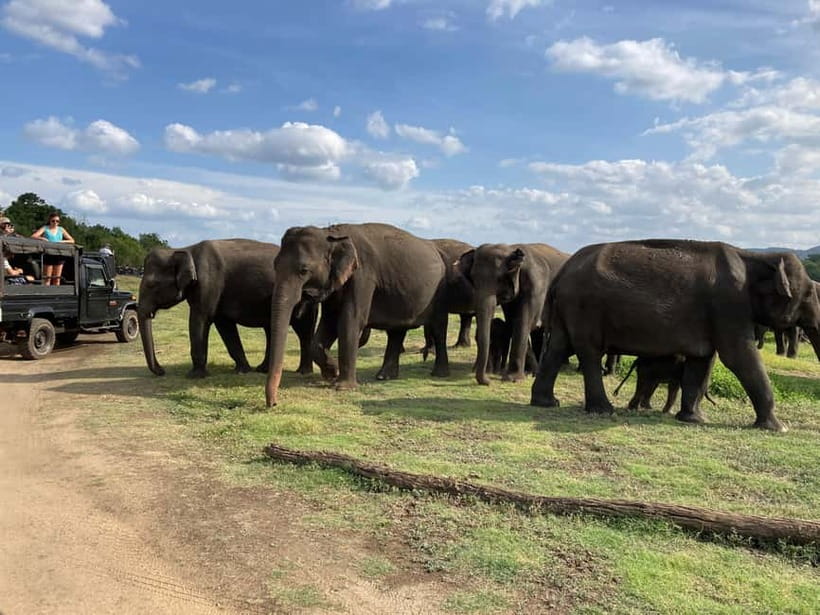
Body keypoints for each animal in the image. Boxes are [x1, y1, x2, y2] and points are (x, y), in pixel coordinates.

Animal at [138, 239, 317, 378]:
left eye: (151, 285)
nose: (162, 371)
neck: (187, 249)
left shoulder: (208, 284)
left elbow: (200, 319)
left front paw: (194, 376)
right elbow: (225, 326)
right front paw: (242, 371)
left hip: (308, 299)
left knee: (303, 331)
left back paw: (302, 372)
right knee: (273, 330)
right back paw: (264, 370)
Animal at [265, 223, 451, 407]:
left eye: (304, 270)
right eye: (274, 265)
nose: (273, 404)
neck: (331, 233)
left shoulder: (363, 275)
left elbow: (350, 321)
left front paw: (342, 387)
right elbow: (329, 324)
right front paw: (332, 373)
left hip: (440, 292)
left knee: (438, 327)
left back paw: (439, 374)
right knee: (396, 331)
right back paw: (384, 376)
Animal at [457, 243, 570, 385]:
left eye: (500, 278)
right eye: (473, 278)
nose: (488, 381)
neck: (510, 249)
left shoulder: (537, 286)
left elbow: (524, 323)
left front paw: (513, 379)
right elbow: (512, 322)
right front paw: (524, 374)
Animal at [531, 240, 820, 431]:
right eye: (808, 294)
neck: (752, 257)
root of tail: (562, 272)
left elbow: (702, 360)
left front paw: (694, 420)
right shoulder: (729, 305)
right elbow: (739, 356)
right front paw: (778, 428)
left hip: (570, 309)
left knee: (559, 347)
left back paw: (547, 403)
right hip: (585, 307)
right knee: (588, 351)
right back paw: (602, 410)